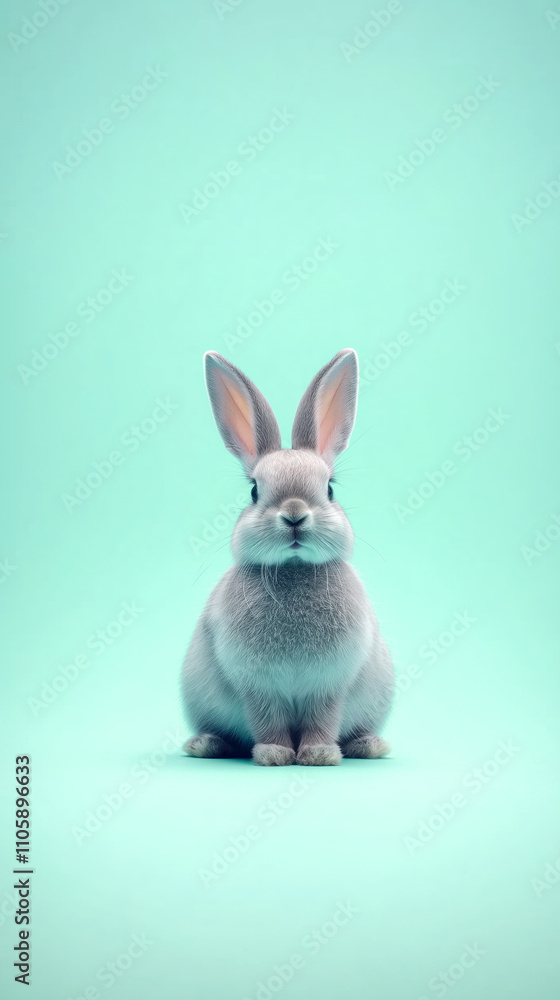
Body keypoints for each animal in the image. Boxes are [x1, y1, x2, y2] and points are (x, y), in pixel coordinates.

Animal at [181, 348, 394, 766]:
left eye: (329, 489)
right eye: (253, 491)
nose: (294, 514)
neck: (294, 569)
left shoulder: (329, 685)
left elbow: (323, 718)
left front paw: (318, 754)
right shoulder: (257, 687)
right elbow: (268, 720)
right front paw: (275, 754)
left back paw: (369, 745)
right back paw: (206, 744)